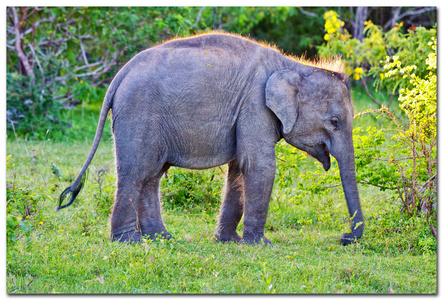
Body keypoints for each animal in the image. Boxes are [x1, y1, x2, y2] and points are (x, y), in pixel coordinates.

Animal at [59, 31, 364, 245]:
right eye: (334, 122)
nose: (344, 239)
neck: (293, 65)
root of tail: (119, 76)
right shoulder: (255, 105)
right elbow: (259, 165)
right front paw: (261, 244)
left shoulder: (247, 111)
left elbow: (240, 168)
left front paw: (229, 241)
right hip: (139, 112)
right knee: (136, 172)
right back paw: (128, 241)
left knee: (151, 175)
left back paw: (161, 239)